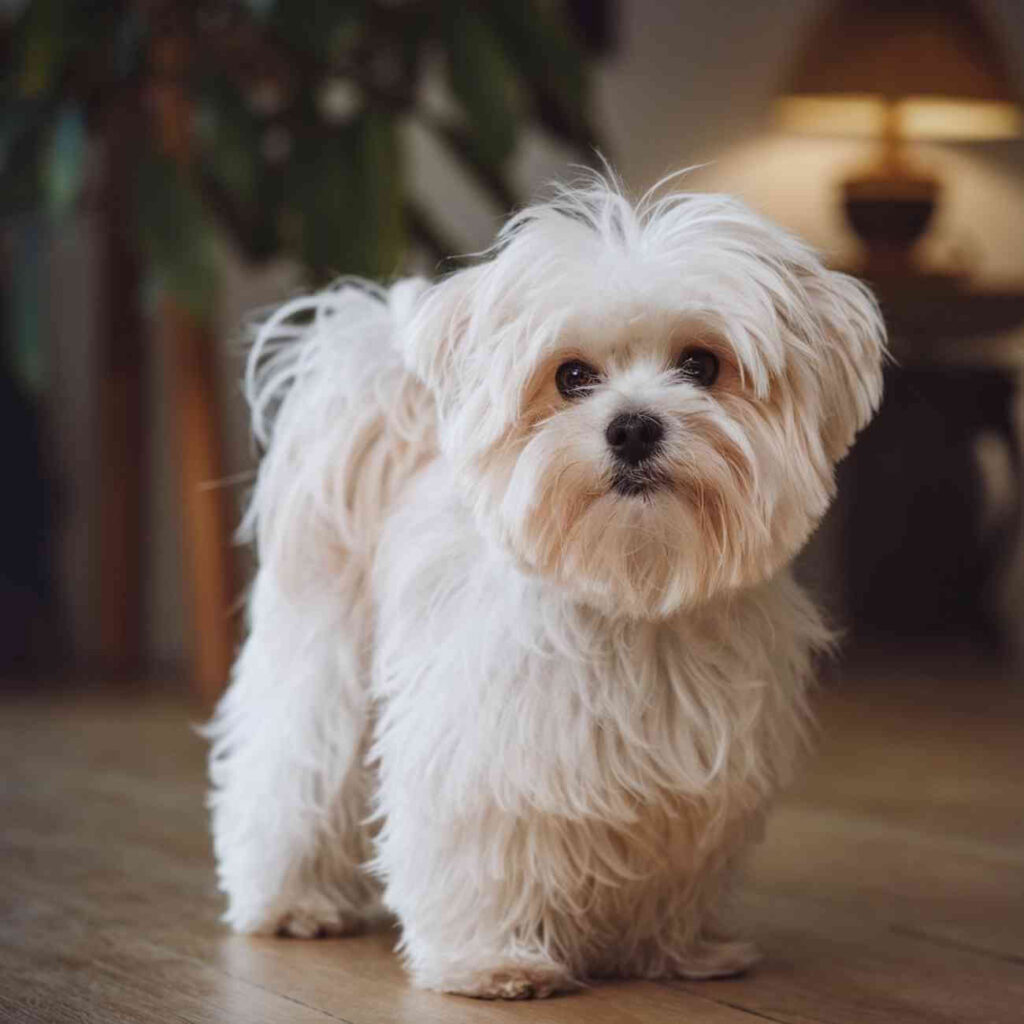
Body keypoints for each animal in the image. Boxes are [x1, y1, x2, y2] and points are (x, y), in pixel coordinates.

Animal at [203, 172, 884, 995]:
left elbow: (676, 869)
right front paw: (493, 961)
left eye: (702, 364)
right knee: (288, 775)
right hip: (323, 672)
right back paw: (291, 902)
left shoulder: (696, 782)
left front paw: (674, 951)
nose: (633, 426)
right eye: (571, 377)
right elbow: (481, 859)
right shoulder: (477, 756)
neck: (632, 592)